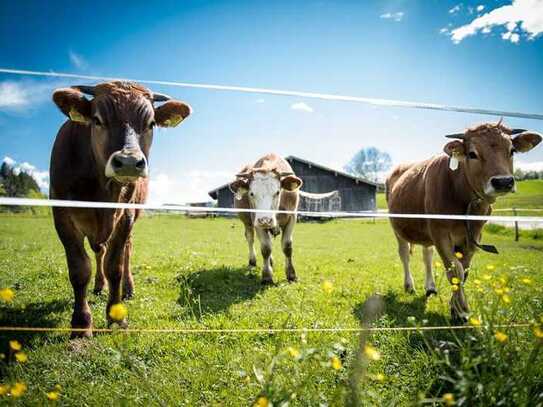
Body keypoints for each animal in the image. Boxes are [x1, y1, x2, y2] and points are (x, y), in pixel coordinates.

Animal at [49, 80, 193, 338]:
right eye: (97, 120)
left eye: (151, 123)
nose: (128, 162)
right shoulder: (62, 217)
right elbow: (79, 269)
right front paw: (81, 323)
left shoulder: (125, 215)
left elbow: (114, 266)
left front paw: (116, 317)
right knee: (98, 251)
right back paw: (99, 285)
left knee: (125, 251)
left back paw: (127, 288)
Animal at [230, 155, 304, 286]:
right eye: (251, 193)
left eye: (278, 192)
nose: (265, 219)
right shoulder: (256, 220)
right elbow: (266, 248)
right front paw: (267, 276)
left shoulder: (292, 217)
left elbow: (287, 246)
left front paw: (291, 275)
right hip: (247, 221)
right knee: (250, 238)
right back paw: (253, 261)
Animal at [384, 122, 540, 324]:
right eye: (472, 154)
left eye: (512, 150)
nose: (503, 181)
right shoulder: (440, 232)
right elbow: (455, 270)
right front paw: (461, 311)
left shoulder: (474, 235)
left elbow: (464, 270)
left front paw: (455, 308)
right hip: (398, 228)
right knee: (404, 254)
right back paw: (409, 285)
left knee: (427, 255)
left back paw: (430, 287)